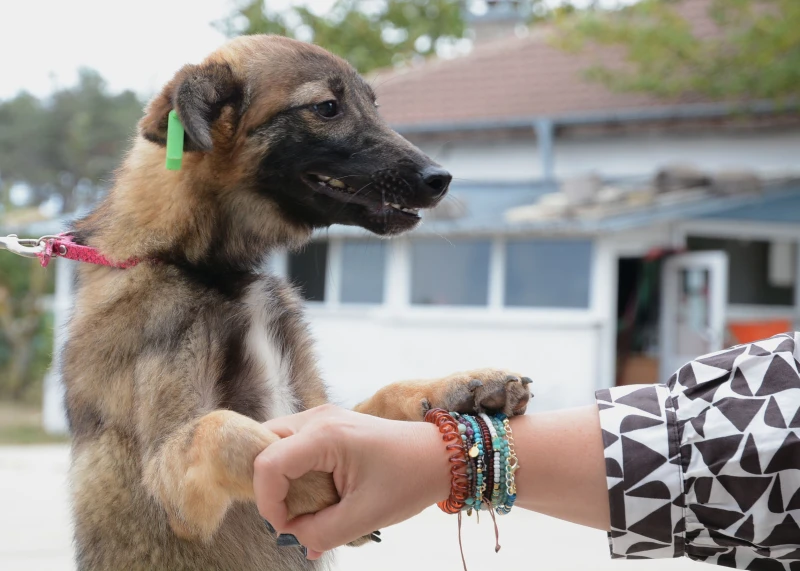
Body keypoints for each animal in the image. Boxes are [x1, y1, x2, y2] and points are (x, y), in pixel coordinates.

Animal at [64, 36, 532, 571]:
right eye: (326, 108)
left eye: (373, 105)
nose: (442, 178)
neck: (209, 269)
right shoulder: (169, 486)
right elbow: (226, 430)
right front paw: (311, 487)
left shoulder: (310, 408)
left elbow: (382, 399)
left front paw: (466, 386)